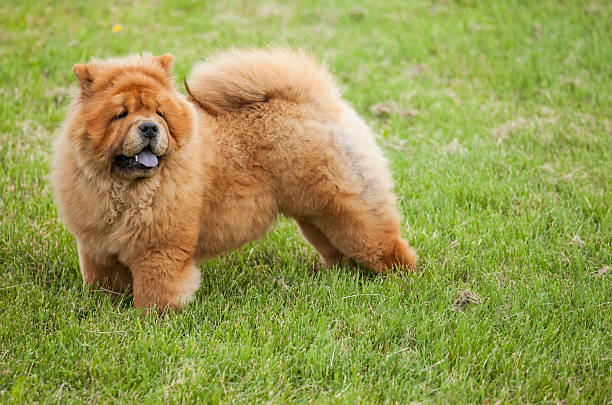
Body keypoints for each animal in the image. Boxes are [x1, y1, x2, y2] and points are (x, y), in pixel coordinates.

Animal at [51, 48, 416, 312]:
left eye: (159, 113)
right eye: (121, 115)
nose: (150, 127)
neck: (123, 189)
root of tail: (317, 103)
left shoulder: (160, 250)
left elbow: (156, 292)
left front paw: (150, 322)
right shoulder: (97, 248)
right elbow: (102, 285)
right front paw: (104, 311)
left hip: (350, 212)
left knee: (387, 246)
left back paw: (404, 282)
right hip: (317, 217)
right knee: (336, 250)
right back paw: (338, 277)